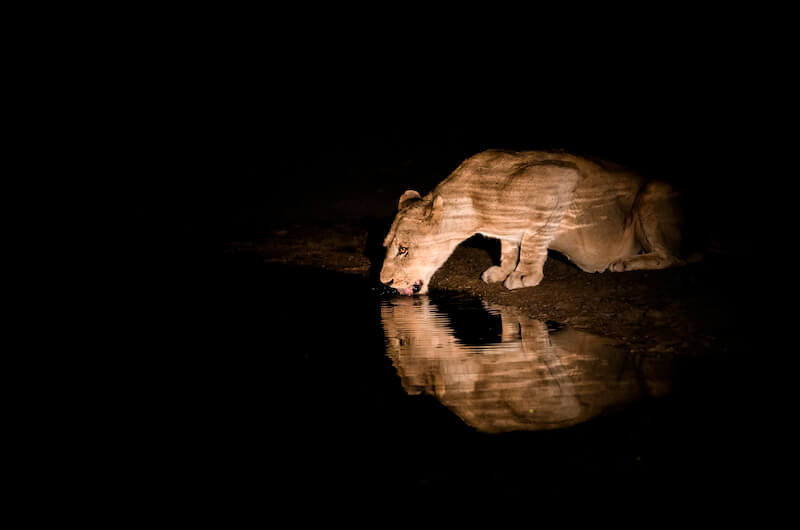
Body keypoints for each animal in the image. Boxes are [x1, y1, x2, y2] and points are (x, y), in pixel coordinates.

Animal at [380, 149, 688, 295]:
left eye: (403, 249)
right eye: (387, 246)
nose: (385, 281)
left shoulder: (560, 179)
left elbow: (532, 241)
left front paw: (524, 275)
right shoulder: (505, 228)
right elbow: (508, 246)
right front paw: (503, 270)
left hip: (651, 192)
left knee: (671, 257)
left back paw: (626, 262)